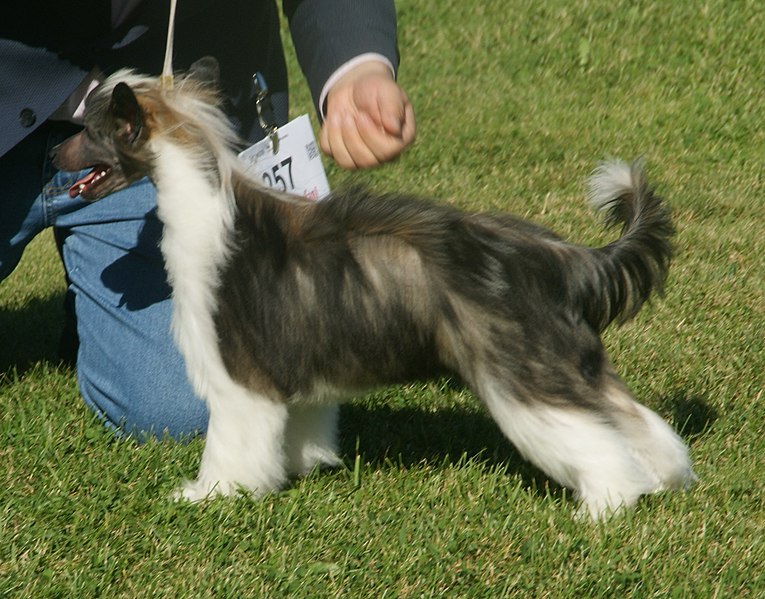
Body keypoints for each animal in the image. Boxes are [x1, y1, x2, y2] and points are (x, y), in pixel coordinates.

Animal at [50, 61, 696, 520]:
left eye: (87, 131)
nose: (51, 152)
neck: (208, 207)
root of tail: (560, 257)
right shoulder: (299, 374)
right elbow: (301, 429)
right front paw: (298, 469)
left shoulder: (238, 379)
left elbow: (230, 446)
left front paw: (212, 493)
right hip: (569, 362)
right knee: (634, 420)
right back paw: (664, 479)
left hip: (521, 373)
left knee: (595, 438)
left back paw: (606, 505)